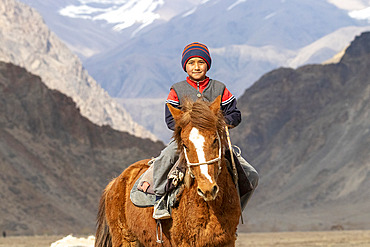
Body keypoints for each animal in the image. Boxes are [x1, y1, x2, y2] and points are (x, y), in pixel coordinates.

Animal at [94, 95, 241, 246]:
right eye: (185, 145)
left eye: (215, 140)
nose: (208, 189)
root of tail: (114, 182)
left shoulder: (228, 241)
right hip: (125, 239)